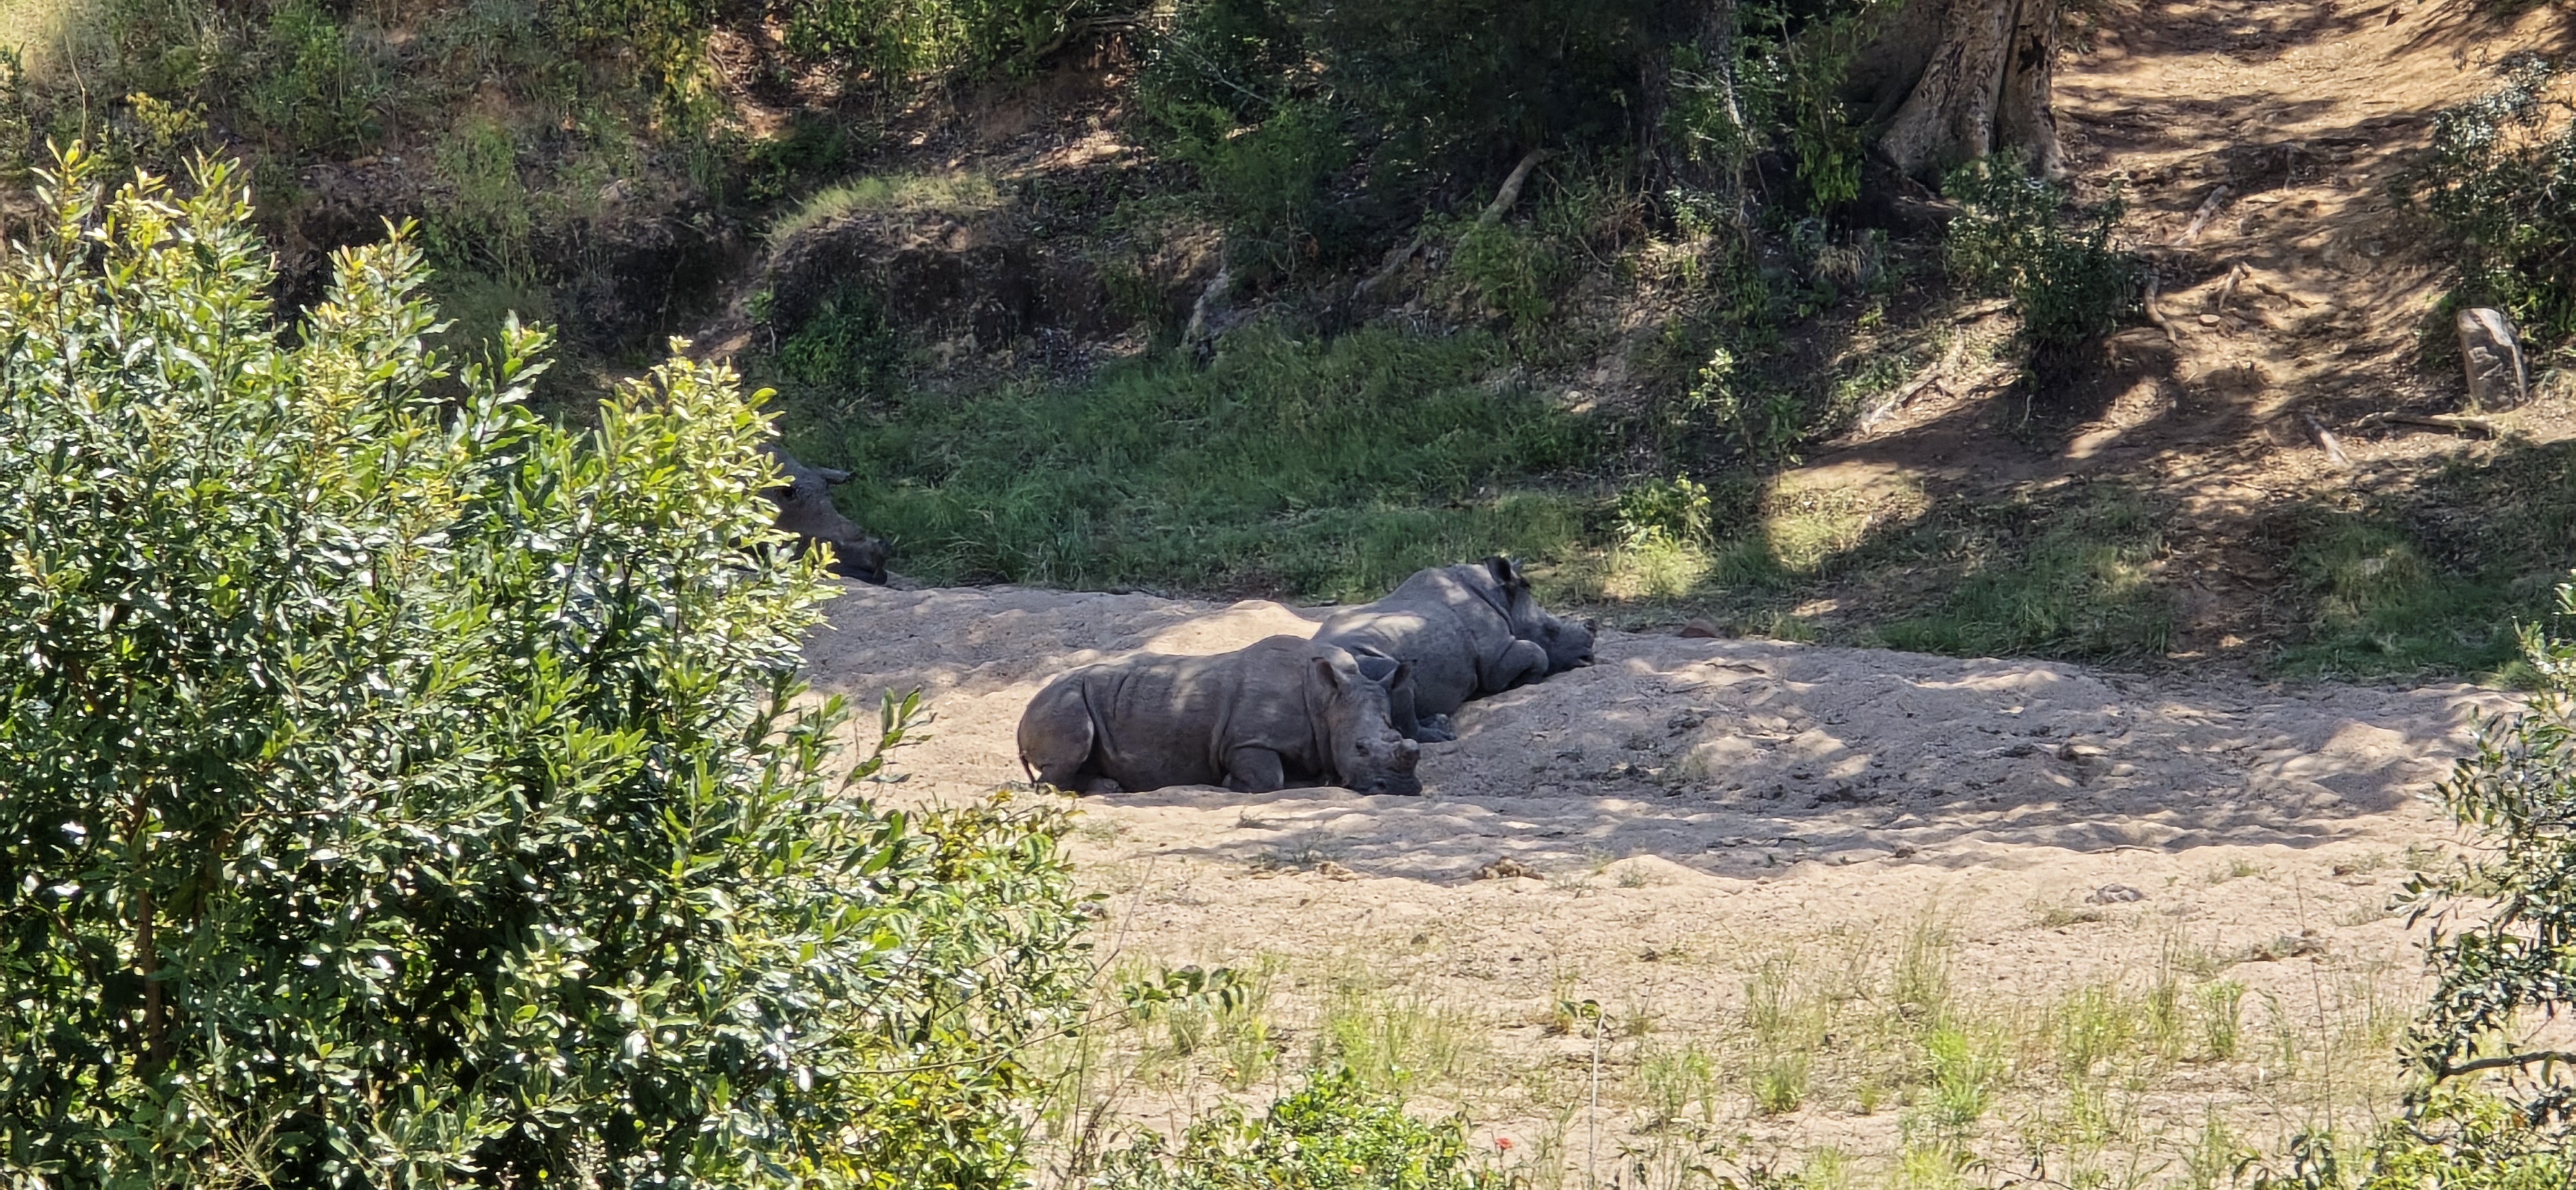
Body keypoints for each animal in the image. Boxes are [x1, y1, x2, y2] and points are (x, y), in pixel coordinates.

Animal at [1017, 635, 1424, 796]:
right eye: (1360, 748)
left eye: (1397, 735)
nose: (1404, 789)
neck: (1327, 700)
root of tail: (1026, 709)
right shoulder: (1246, 741)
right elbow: (1269, 779)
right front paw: (1231, 784)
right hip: (1063, 701)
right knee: (1071, 749)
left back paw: (1110, 787)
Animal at [1313, 556, 1597, 743]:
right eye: (1552, 631)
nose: (1590, 651)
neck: (1502, 599)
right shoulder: (1498, 658)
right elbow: (1538, 653)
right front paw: (1525, 680)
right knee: (1395, 674)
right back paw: (1441, 735)